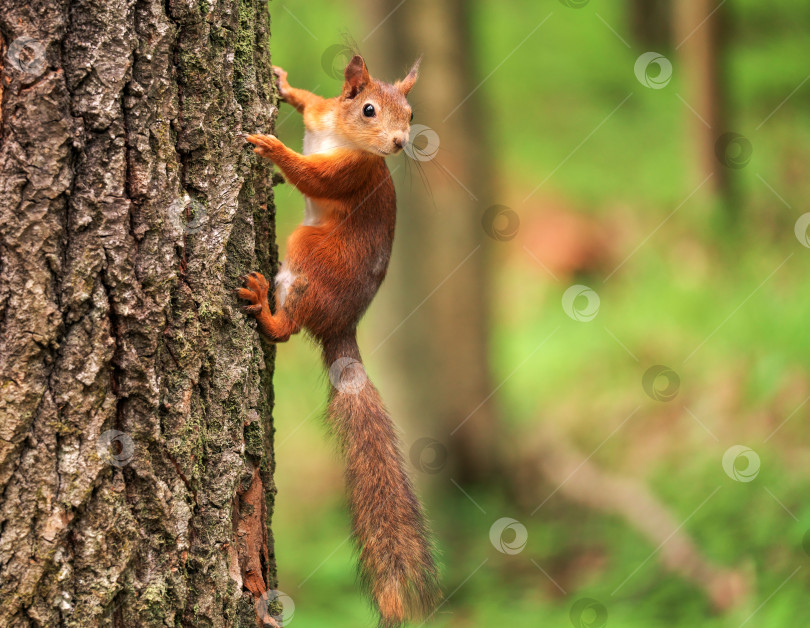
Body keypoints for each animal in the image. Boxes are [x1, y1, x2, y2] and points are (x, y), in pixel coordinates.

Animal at [238, 56, 438, 624]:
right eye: (368, 107)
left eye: (411, 113)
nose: (399, 142)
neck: (343, 136)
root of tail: (341, 327)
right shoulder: (322, 114)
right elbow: (309, 101)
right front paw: (282, 84)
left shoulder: (349, 175)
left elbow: (310, 175)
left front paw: (274, 150)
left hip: (308, 250)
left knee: (287, 329)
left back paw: (264, 307)